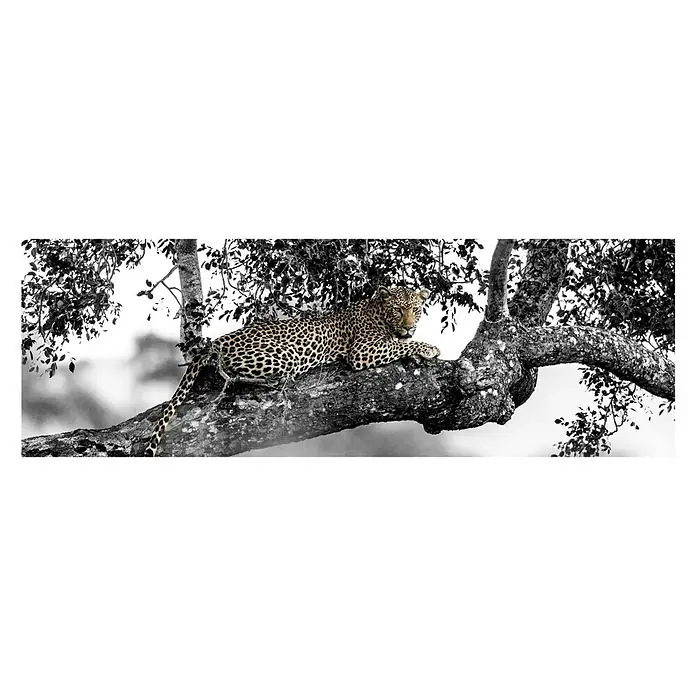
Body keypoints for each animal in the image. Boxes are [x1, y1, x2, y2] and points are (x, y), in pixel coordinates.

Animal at [143, 285, 440, 456]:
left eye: (416, 309)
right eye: (398, 310)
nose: (409, 327)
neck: (378, 313)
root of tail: (220, 340)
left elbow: (399, 344)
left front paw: (419, 344)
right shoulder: (362, 350)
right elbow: (397, 345)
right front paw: (429, 347)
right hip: (286, 356)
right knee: (234, 374)